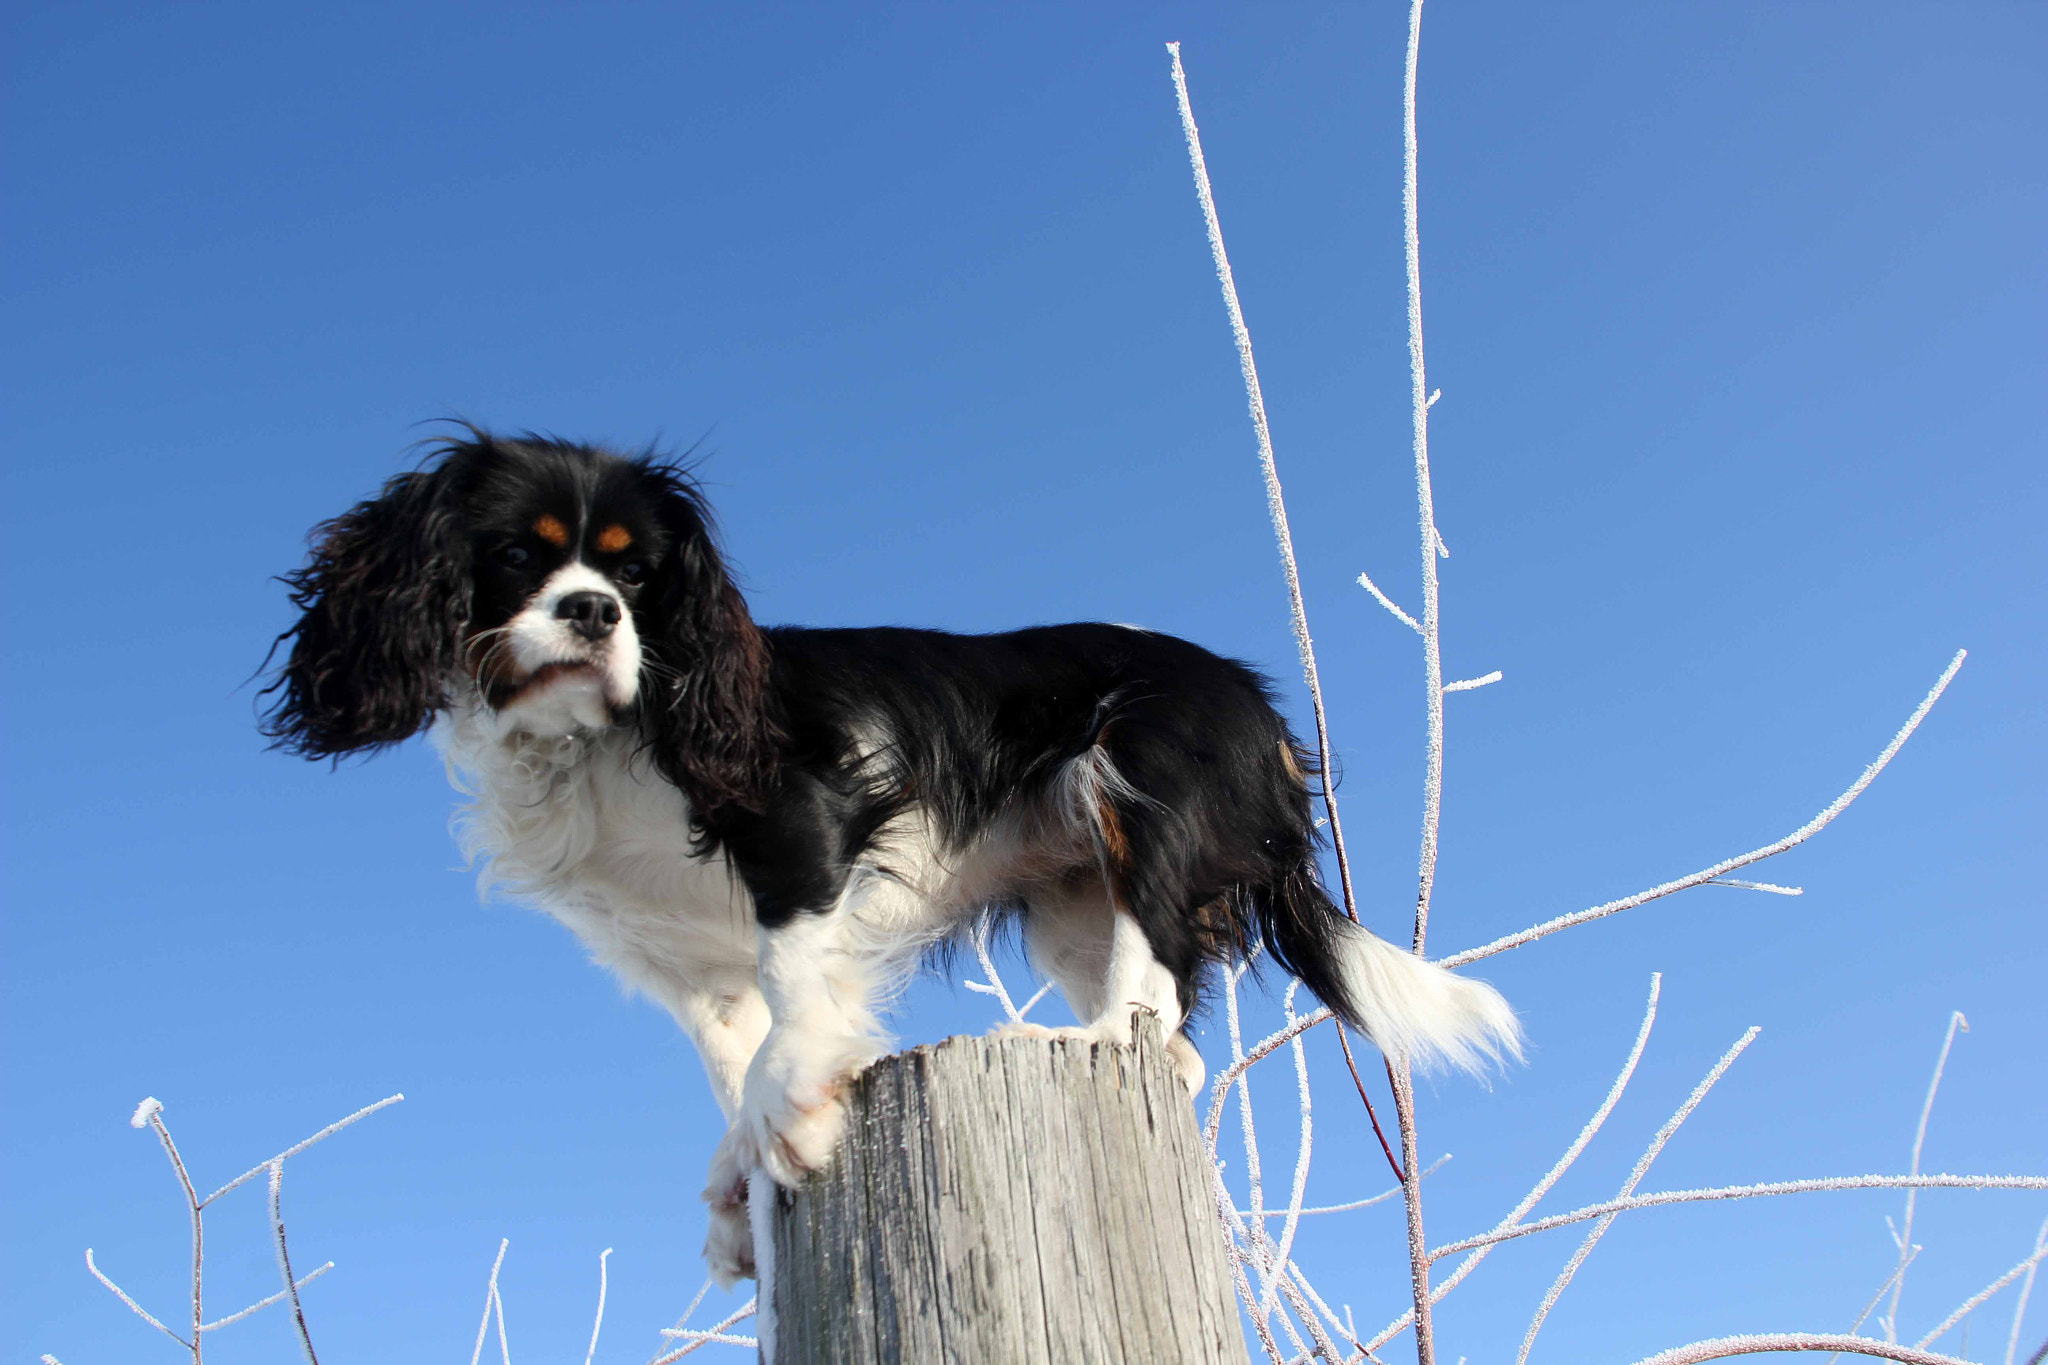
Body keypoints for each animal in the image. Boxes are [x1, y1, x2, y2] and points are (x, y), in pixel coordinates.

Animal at [260, 429, 1523, 1285]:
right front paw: (739, 1169)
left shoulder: (799, 822)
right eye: (519, 558)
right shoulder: (680, 960)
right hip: (1071, 897)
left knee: (1156, 973)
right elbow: (727, 1050)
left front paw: (792, 1116)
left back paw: (1087, 1040)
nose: (592, 614)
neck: (591, 739)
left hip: (1136, 769)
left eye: (635, 578)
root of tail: (1261, 713)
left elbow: (793, 982)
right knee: (1163, 1018)